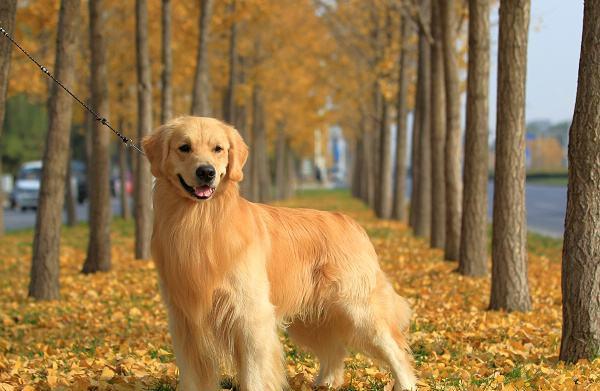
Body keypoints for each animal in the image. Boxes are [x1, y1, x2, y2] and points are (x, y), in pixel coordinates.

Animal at [143, 117, 418, 391]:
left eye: (218, 149)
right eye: (184, 147)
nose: (206, 172)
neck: (201, 221)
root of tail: (351, 222)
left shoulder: (250, 314)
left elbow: (254, 374)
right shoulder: (184, 319)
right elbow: (191, 375)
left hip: (358, 308)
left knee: (395, 349)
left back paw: (406, 384)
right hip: (311, 320)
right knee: (335, 350)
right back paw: (326, 382)